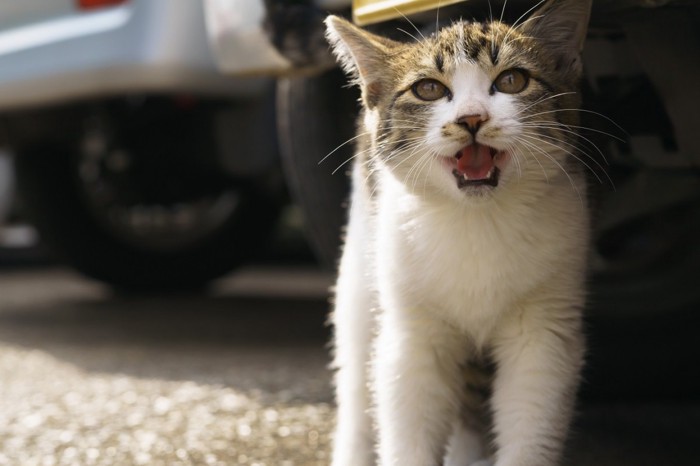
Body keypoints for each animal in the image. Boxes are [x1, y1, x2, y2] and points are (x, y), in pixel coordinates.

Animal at [326, 0, 592, 466]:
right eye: (428, 89)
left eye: (512, 80)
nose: (471, 118)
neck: (477, 217)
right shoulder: (412, 331)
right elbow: (407, 405)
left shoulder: (546, 324)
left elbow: (532, 407)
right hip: (363, 252)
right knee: (357, 368)